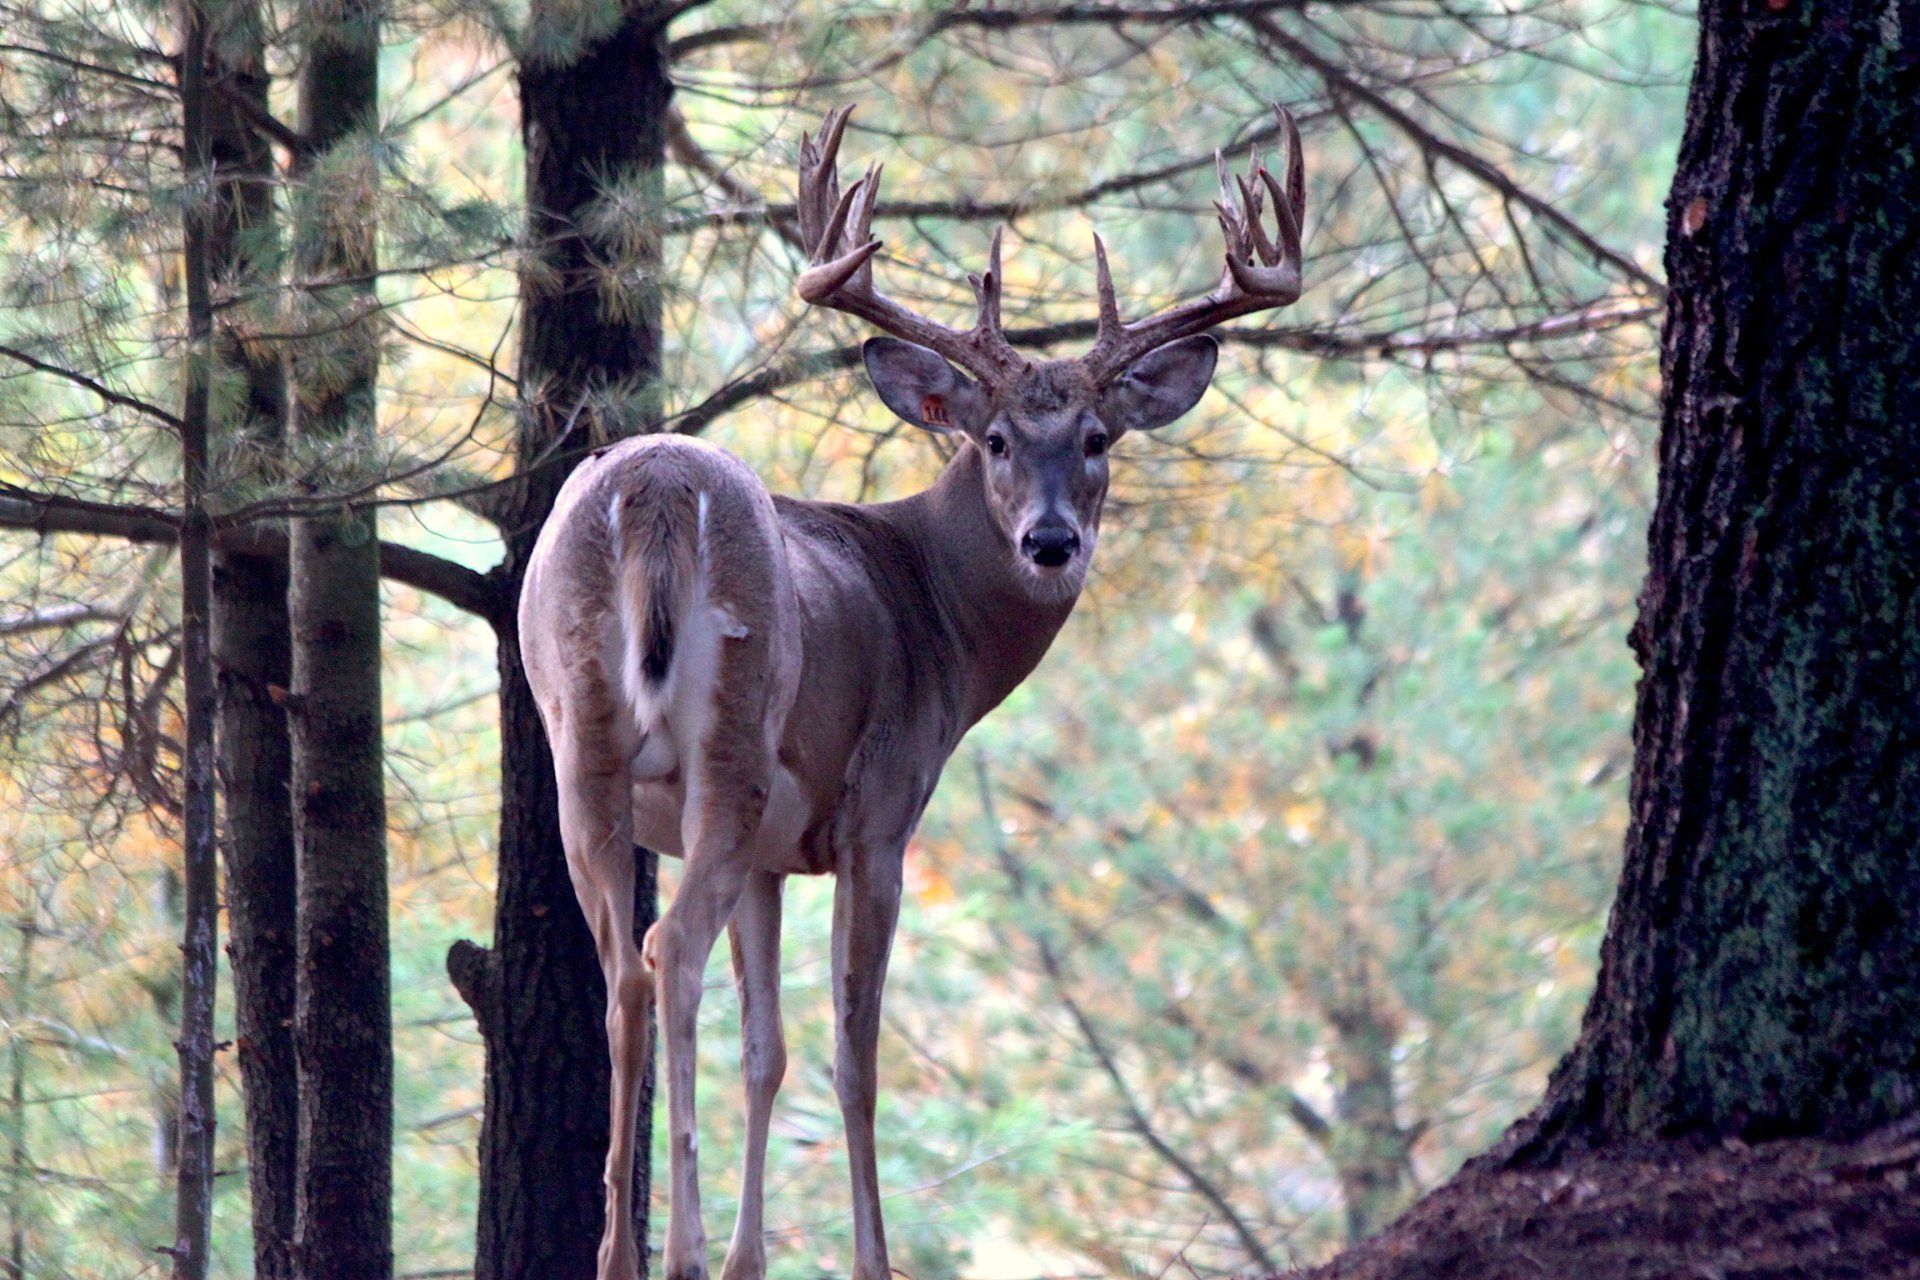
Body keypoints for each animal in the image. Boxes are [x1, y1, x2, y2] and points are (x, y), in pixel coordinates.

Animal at [517, 103, 1308, 1280]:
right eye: (993, 438)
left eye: (1097, 438)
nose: (1051, 541)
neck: (933, 606)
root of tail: (657, 488)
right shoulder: (879, 813)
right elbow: (855, 1052)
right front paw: (867, 1257)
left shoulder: (773, 857)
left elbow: (768, 1048)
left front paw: (752, 1259)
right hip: (734, 739)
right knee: (670, 950)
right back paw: (676, 1249)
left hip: (584, 742)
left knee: (627, 966)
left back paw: (621, 1251)